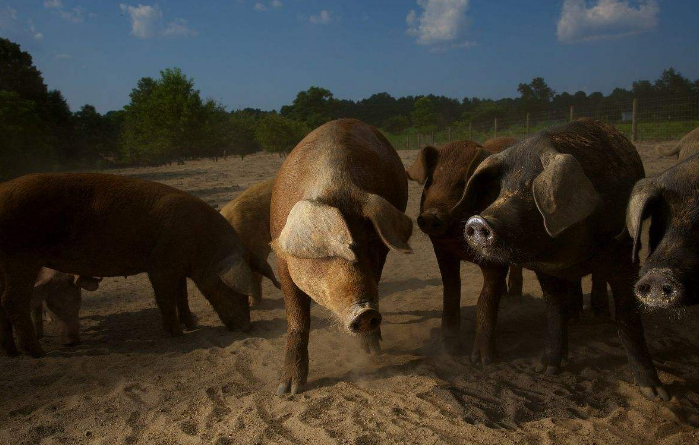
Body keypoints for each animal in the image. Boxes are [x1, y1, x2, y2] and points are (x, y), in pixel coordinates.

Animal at [272, 118, 416, 392]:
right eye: (324, 254)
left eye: (370, 241)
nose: (366, 313)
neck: (336, 185)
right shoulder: (281, 257)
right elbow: (297, 319)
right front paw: (288, 390)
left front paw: (372, 353)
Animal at [456, 119, 668, 400]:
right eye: (501, 188)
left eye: (533, 188)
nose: (478, 221)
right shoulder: (546, 270)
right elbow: (554, 311)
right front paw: (545, 370)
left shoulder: (624, 256)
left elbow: (628, 320)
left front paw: (656, 394)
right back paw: (574, 317)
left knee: (597, 281)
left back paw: (598, 315)